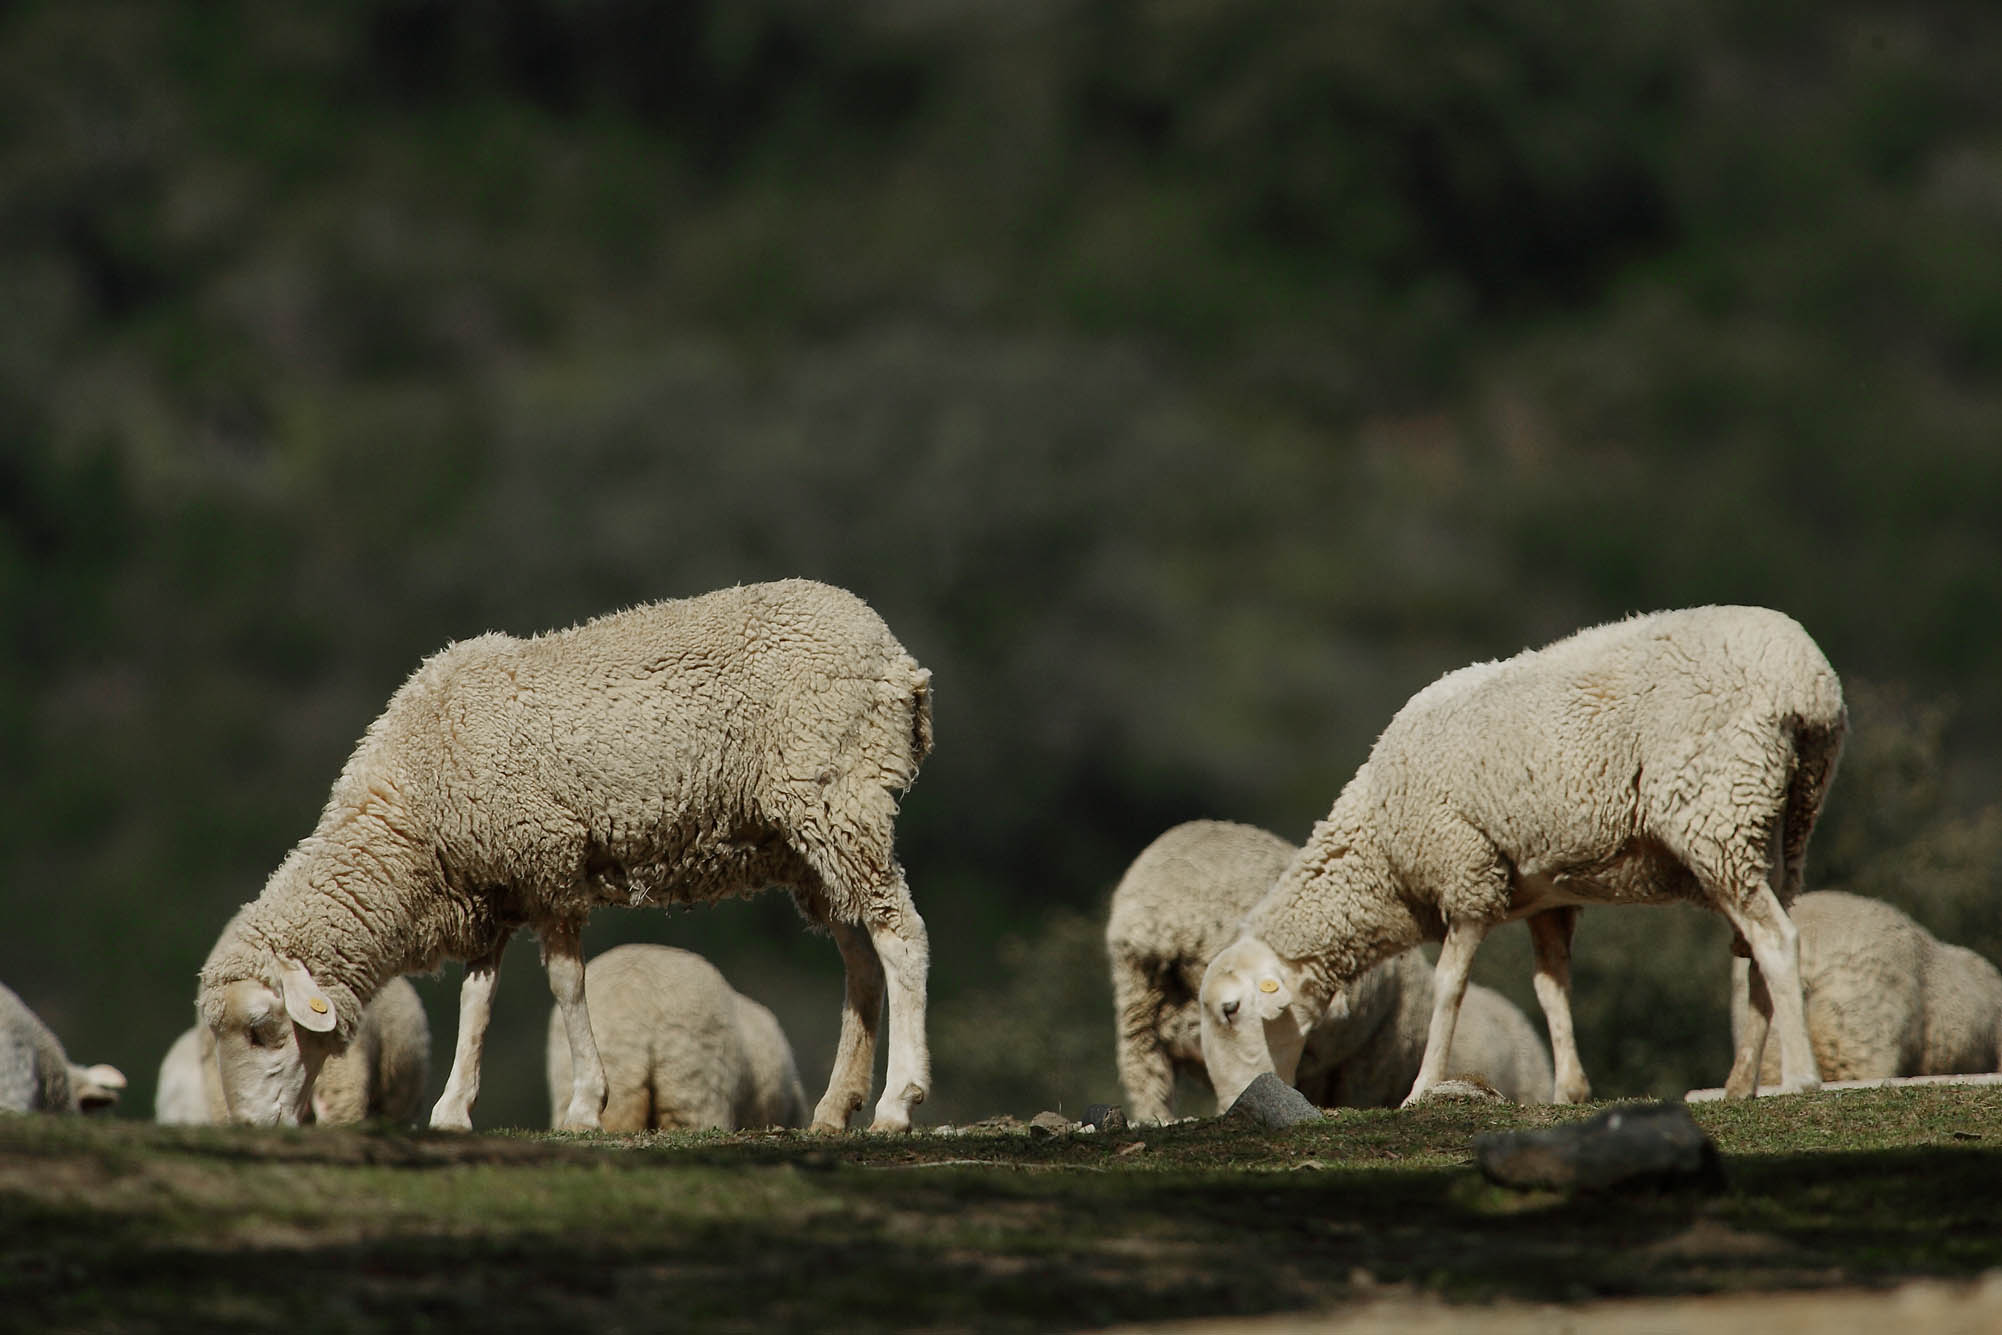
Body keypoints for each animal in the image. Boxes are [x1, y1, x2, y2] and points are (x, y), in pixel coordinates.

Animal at [1199, 605, 1846, 1111]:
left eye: (1230, 1010)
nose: (1236, 1106)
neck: (1381, 853)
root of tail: (1807, 682)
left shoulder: (1466, 870)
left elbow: (1449, 986)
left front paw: (1421, 1089)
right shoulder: (1545, 898)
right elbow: (1550, 987)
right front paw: (1570, 1091)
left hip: (1717, 809)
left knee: (1777, 941)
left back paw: (1800, 1079)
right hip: (1783, 826)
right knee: (1758, 947)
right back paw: (1739, 1085)